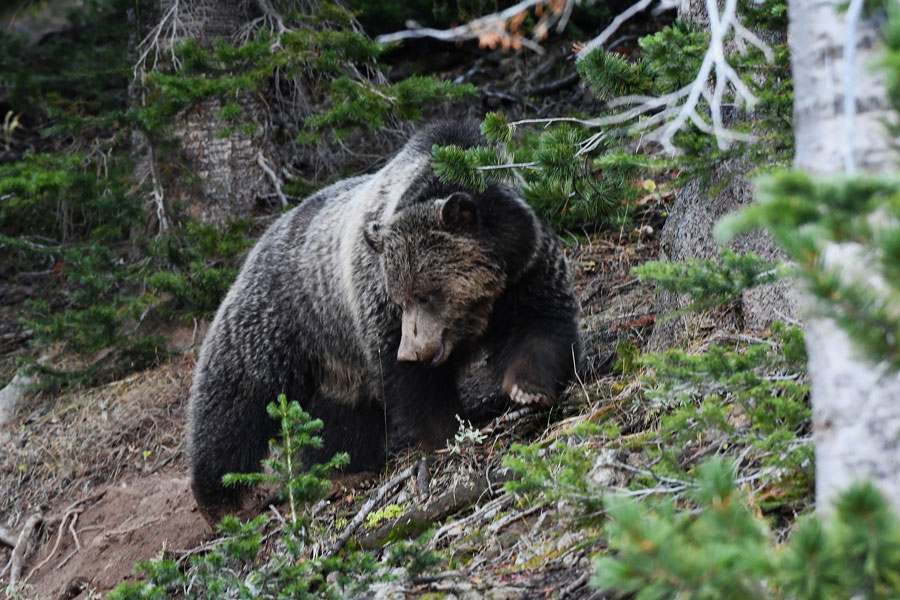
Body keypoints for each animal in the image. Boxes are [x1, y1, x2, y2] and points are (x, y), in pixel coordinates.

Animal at [187, 122, 580, 522]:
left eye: (425, 293)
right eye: (400, 296)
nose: (413, 350)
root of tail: (262, 238)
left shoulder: (524, 266)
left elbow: (540, 324)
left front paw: (527, 389)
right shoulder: (376, 299)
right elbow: (411, 384)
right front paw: (449, 431)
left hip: (337, 356)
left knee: (340, 414)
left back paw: (343, 467)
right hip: (282, 318)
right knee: (236, 402)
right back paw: (223, 497)